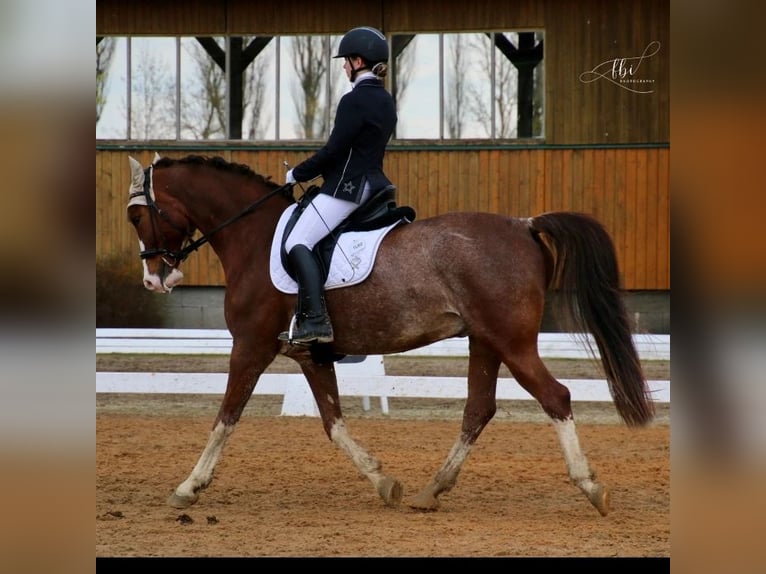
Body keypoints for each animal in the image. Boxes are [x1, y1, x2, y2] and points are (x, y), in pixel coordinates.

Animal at [124, 152, 656, 516]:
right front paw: (383, 482)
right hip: (485, 341)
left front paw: (188, 487)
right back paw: (430, 490)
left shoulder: (250, 348)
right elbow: (334, 425)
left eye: (135, 215)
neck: (254, 239)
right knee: (478, 409)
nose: (153, 280)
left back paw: (591, 487)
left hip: (512, 341)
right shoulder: (311, 356)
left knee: (555, 397)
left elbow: (225, 418)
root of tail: (524, 225)